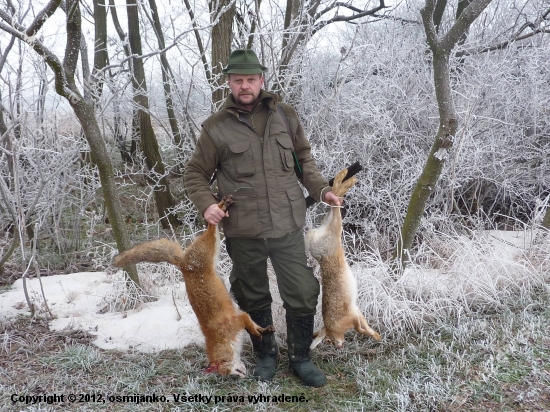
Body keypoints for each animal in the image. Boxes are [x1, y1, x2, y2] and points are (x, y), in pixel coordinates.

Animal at [112, 196, 276, 376]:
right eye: (231, 374)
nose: (244, 376)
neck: (222, 338)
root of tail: (184, 263)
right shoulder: (240, 318)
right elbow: (256, 324)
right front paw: (264, 331)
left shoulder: (238, 320)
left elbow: (250, 326)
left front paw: (257, 334)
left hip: (210, 245)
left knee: (211, 225)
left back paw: (222, 206)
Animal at [304, 169, 382, 350]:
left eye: (329, 339)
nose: (337, 344)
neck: (331, 328)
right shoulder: (355, 311)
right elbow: (363, 325)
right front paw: (376, 336)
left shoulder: (351, 315)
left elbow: (360, 327)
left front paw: (372, 335)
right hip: (332, 231)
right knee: (333, 208)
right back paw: (346, 178)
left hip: (334, 232)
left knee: (335, 208)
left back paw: (345, 179)